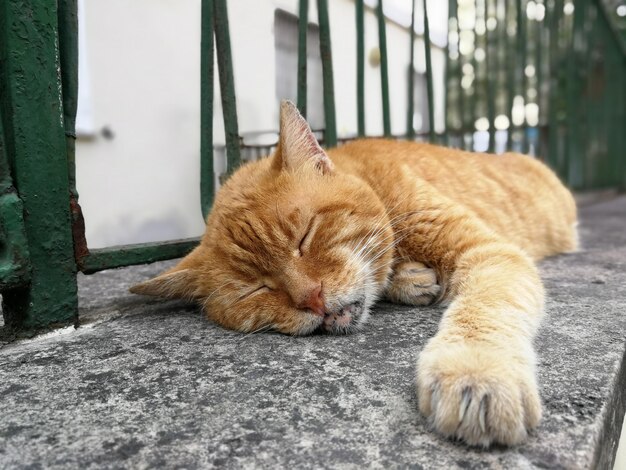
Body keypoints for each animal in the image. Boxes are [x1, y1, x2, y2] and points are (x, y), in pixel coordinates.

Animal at [132, 100, 576, 448]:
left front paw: (478, 372)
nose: (312, 298)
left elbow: (483, 310)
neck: (371, 180)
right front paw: (409, 279)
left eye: (305, 236)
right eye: (255, 290)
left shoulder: (487, 253)